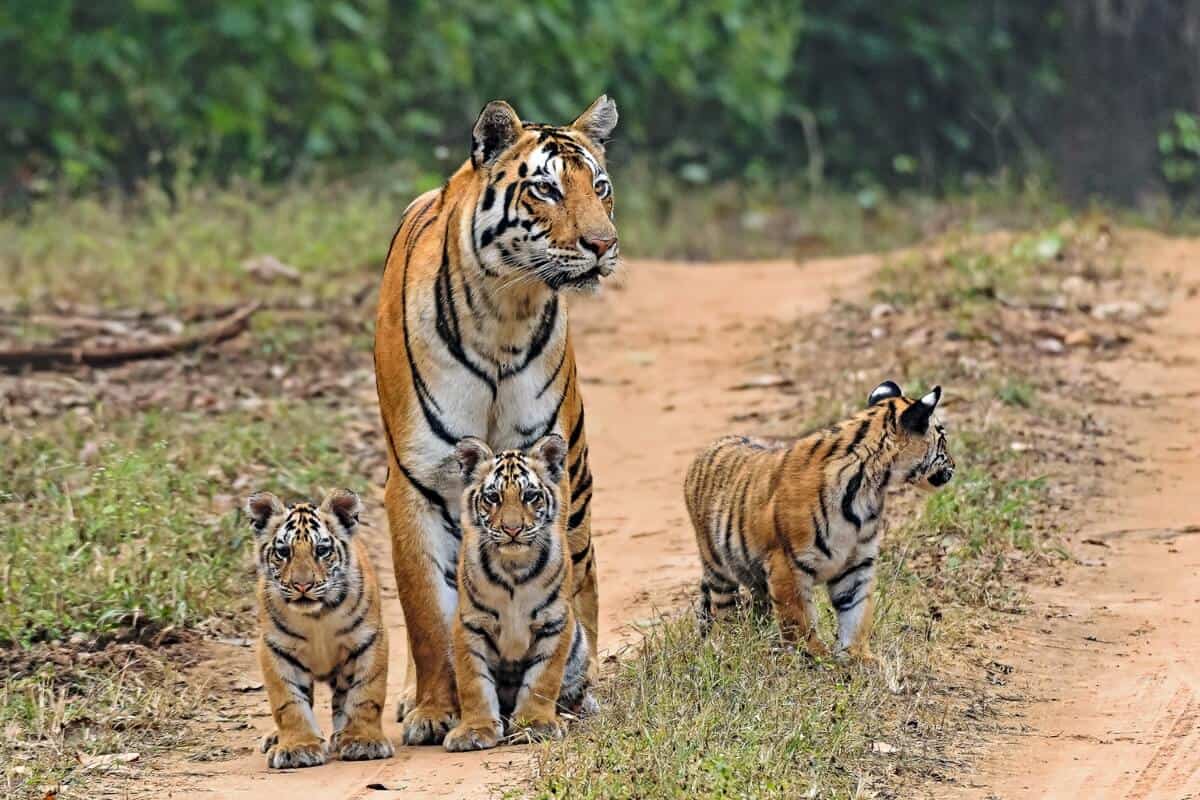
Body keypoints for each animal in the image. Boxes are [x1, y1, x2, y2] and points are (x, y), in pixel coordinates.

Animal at [374, 95, 619, 743]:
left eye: (600, 187)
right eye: (547, 190)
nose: (603, 244)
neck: (505, 312)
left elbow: (558, 593)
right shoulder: (418, 483)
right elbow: (429, 616)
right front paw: (435, 711)